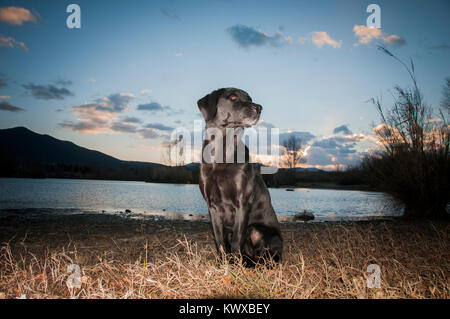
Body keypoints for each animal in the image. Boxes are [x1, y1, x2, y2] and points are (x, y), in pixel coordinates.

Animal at [197, 89, 282, 266]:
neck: (222, 149)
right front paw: (223, 263)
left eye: (250, 98)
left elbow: (237, 239)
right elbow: (219, 239)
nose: (259, 107)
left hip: (258, 230)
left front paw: (235, 265)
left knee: (267, 258)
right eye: (233, 97)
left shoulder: (242, 203)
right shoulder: (212, 206)